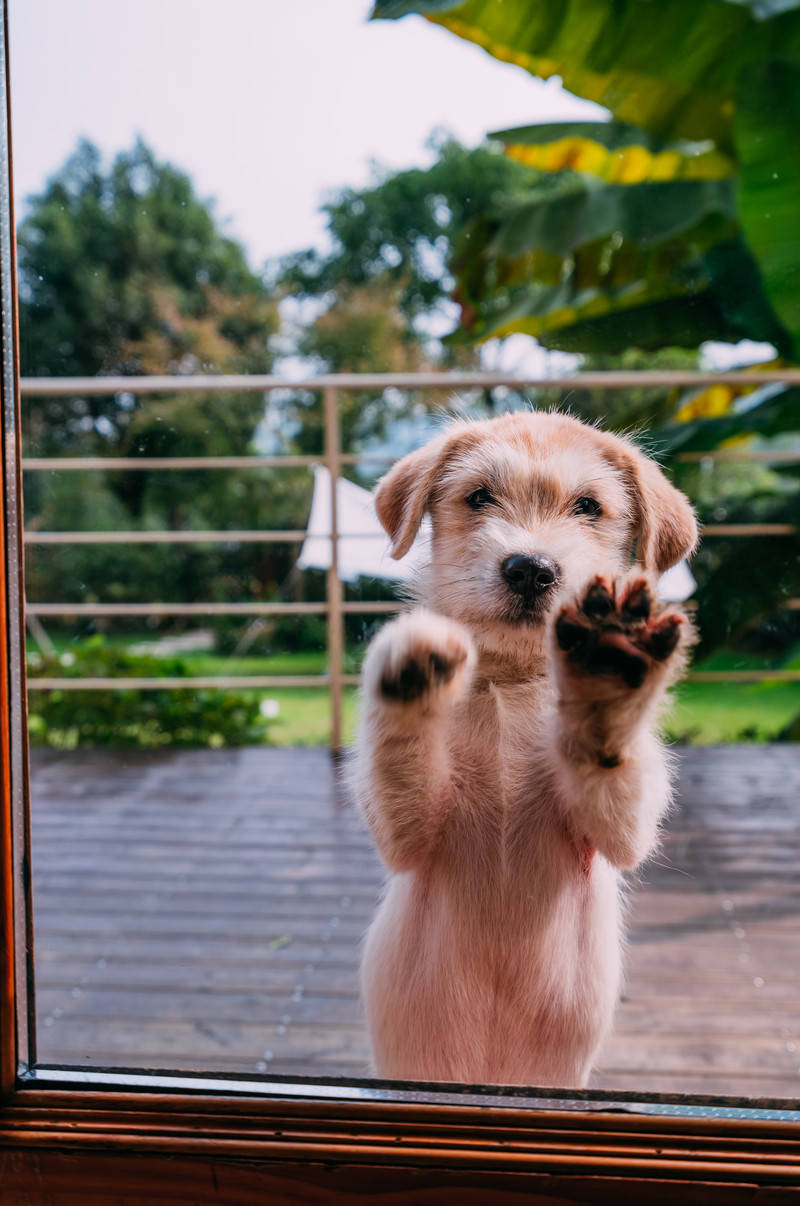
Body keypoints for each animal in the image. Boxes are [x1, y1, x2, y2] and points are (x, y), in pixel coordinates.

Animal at [354, 410, 699, 1090]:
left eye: (588, 506)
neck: (512, 682)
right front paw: (411, 679)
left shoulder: (617, 835)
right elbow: (401, 757)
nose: (531, 568)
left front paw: (602, 685)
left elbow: (611, 765)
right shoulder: (411, 835)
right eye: (479, 496)